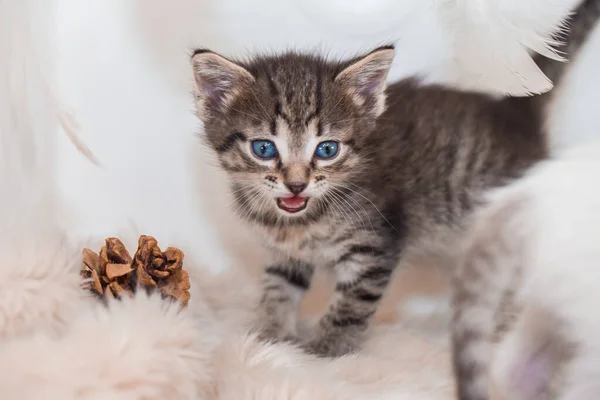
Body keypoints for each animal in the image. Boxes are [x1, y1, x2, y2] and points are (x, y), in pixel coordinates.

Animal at [192, 0, 600, 358]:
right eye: (263, 148)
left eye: (327, 149)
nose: (296, 184)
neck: (299, 221)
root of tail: (516, 116)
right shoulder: (286, 254)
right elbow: (277, 290)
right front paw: (269, 337)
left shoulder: (374, 244)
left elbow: (350, 307)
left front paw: (326, 351)